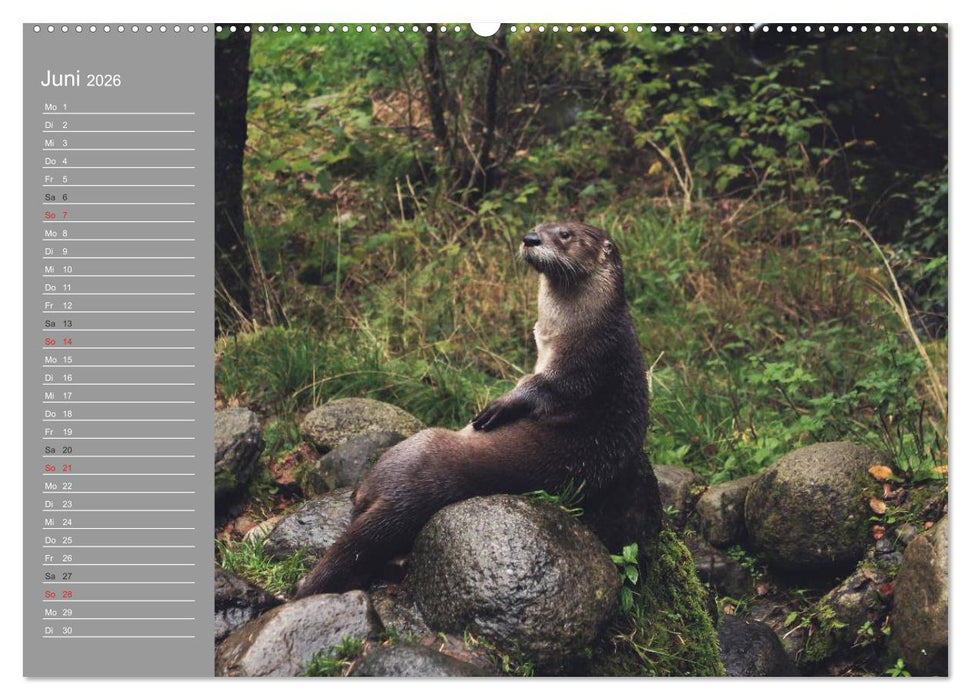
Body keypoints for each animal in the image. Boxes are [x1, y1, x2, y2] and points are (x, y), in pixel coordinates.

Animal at [294, 222, 653, 598]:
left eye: (565, 234)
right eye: (539, 226)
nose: (530, 239)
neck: (586, 326)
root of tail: (404, 498)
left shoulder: (584, 365)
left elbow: (542, 388)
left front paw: (498, 407)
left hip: (413, 446)